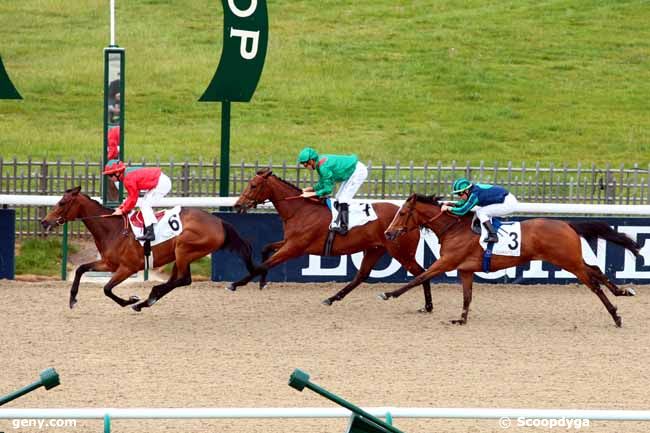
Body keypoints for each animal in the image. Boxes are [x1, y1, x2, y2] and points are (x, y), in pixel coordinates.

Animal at [40, 186, 256, 310]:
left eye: (62, 202)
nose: (44, 221)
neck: (114, 229)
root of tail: (220, 222)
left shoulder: (128, 268)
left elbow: (107, 289)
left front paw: (130, 300)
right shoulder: (109, 263)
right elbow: (81, 268)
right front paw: (72, 299)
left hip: (185, 249)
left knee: (183, 280)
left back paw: (149, 296)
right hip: (180, 255)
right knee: (176, 280)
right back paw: (148, 300)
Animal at [230, 168, 432, 310]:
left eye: (253, 185)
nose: (237, 205)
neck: (300, 210)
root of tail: (411, 220)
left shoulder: (294, 248)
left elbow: (264, 264)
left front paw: (236, 283)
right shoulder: (289, 242)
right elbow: (265, 249)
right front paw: (262, 282)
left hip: (401, 251)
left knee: (422, 273)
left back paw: (427, 306)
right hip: (376, 248)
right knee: (361, 275)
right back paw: (332, 298)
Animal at [380, 194, 636, 326]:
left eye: (402, 213)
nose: (388, 233)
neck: (454, 228)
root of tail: (567, 224)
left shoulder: (446, 262)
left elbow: (419, 277)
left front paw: (389, 294)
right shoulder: (465, 269)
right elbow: (467, 296)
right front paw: (461, 319)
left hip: (568, 261)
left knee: (593, 283)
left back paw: (616, 315)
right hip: (570, 260)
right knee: (595, 269)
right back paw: (623, 293)